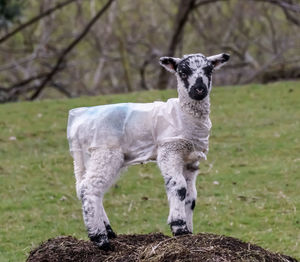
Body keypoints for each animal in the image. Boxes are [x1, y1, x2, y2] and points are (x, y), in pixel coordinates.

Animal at [66, 51, 230, 250]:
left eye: (209, 70)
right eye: (182, 72)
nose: (199, 90)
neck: (183, 114)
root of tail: (76, 123)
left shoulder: (190, 159)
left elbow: (191, 197)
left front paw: (189, 233)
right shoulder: (169, 149)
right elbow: (179, 187)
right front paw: (179, 228)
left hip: (87, 157)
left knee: (85, 188)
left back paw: (108, 231)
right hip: (105, 151)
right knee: (89, 188)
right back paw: (100, 239)